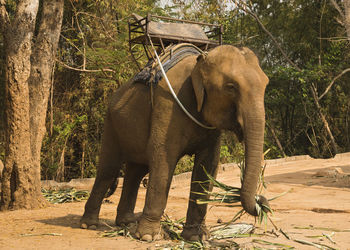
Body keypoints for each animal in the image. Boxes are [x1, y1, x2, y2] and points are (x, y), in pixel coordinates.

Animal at [80, 45, 270, 242]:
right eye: (231, 87)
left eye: (266, 85)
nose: (262, 201)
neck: (198, 63)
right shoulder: (168, 105)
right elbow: (163, 156)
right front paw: (149, 237)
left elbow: (207, 165)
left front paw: (196, 237)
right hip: (111, 122)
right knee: (109, 170)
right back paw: (90, 224)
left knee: (136, 172)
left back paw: (127, 223)